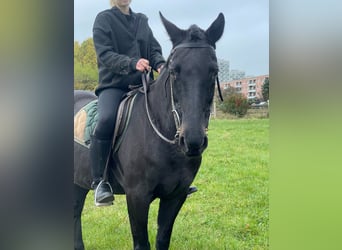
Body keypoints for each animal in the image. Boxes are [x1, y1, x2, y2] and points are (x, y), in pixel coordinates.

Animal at [73, 12, 226, 250]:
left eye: (214, 71)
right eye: (174, 71)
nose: (192, 141)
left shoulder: (176, 196)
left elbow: (162, 240)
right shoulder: (137, 197)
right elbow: (141, 243)